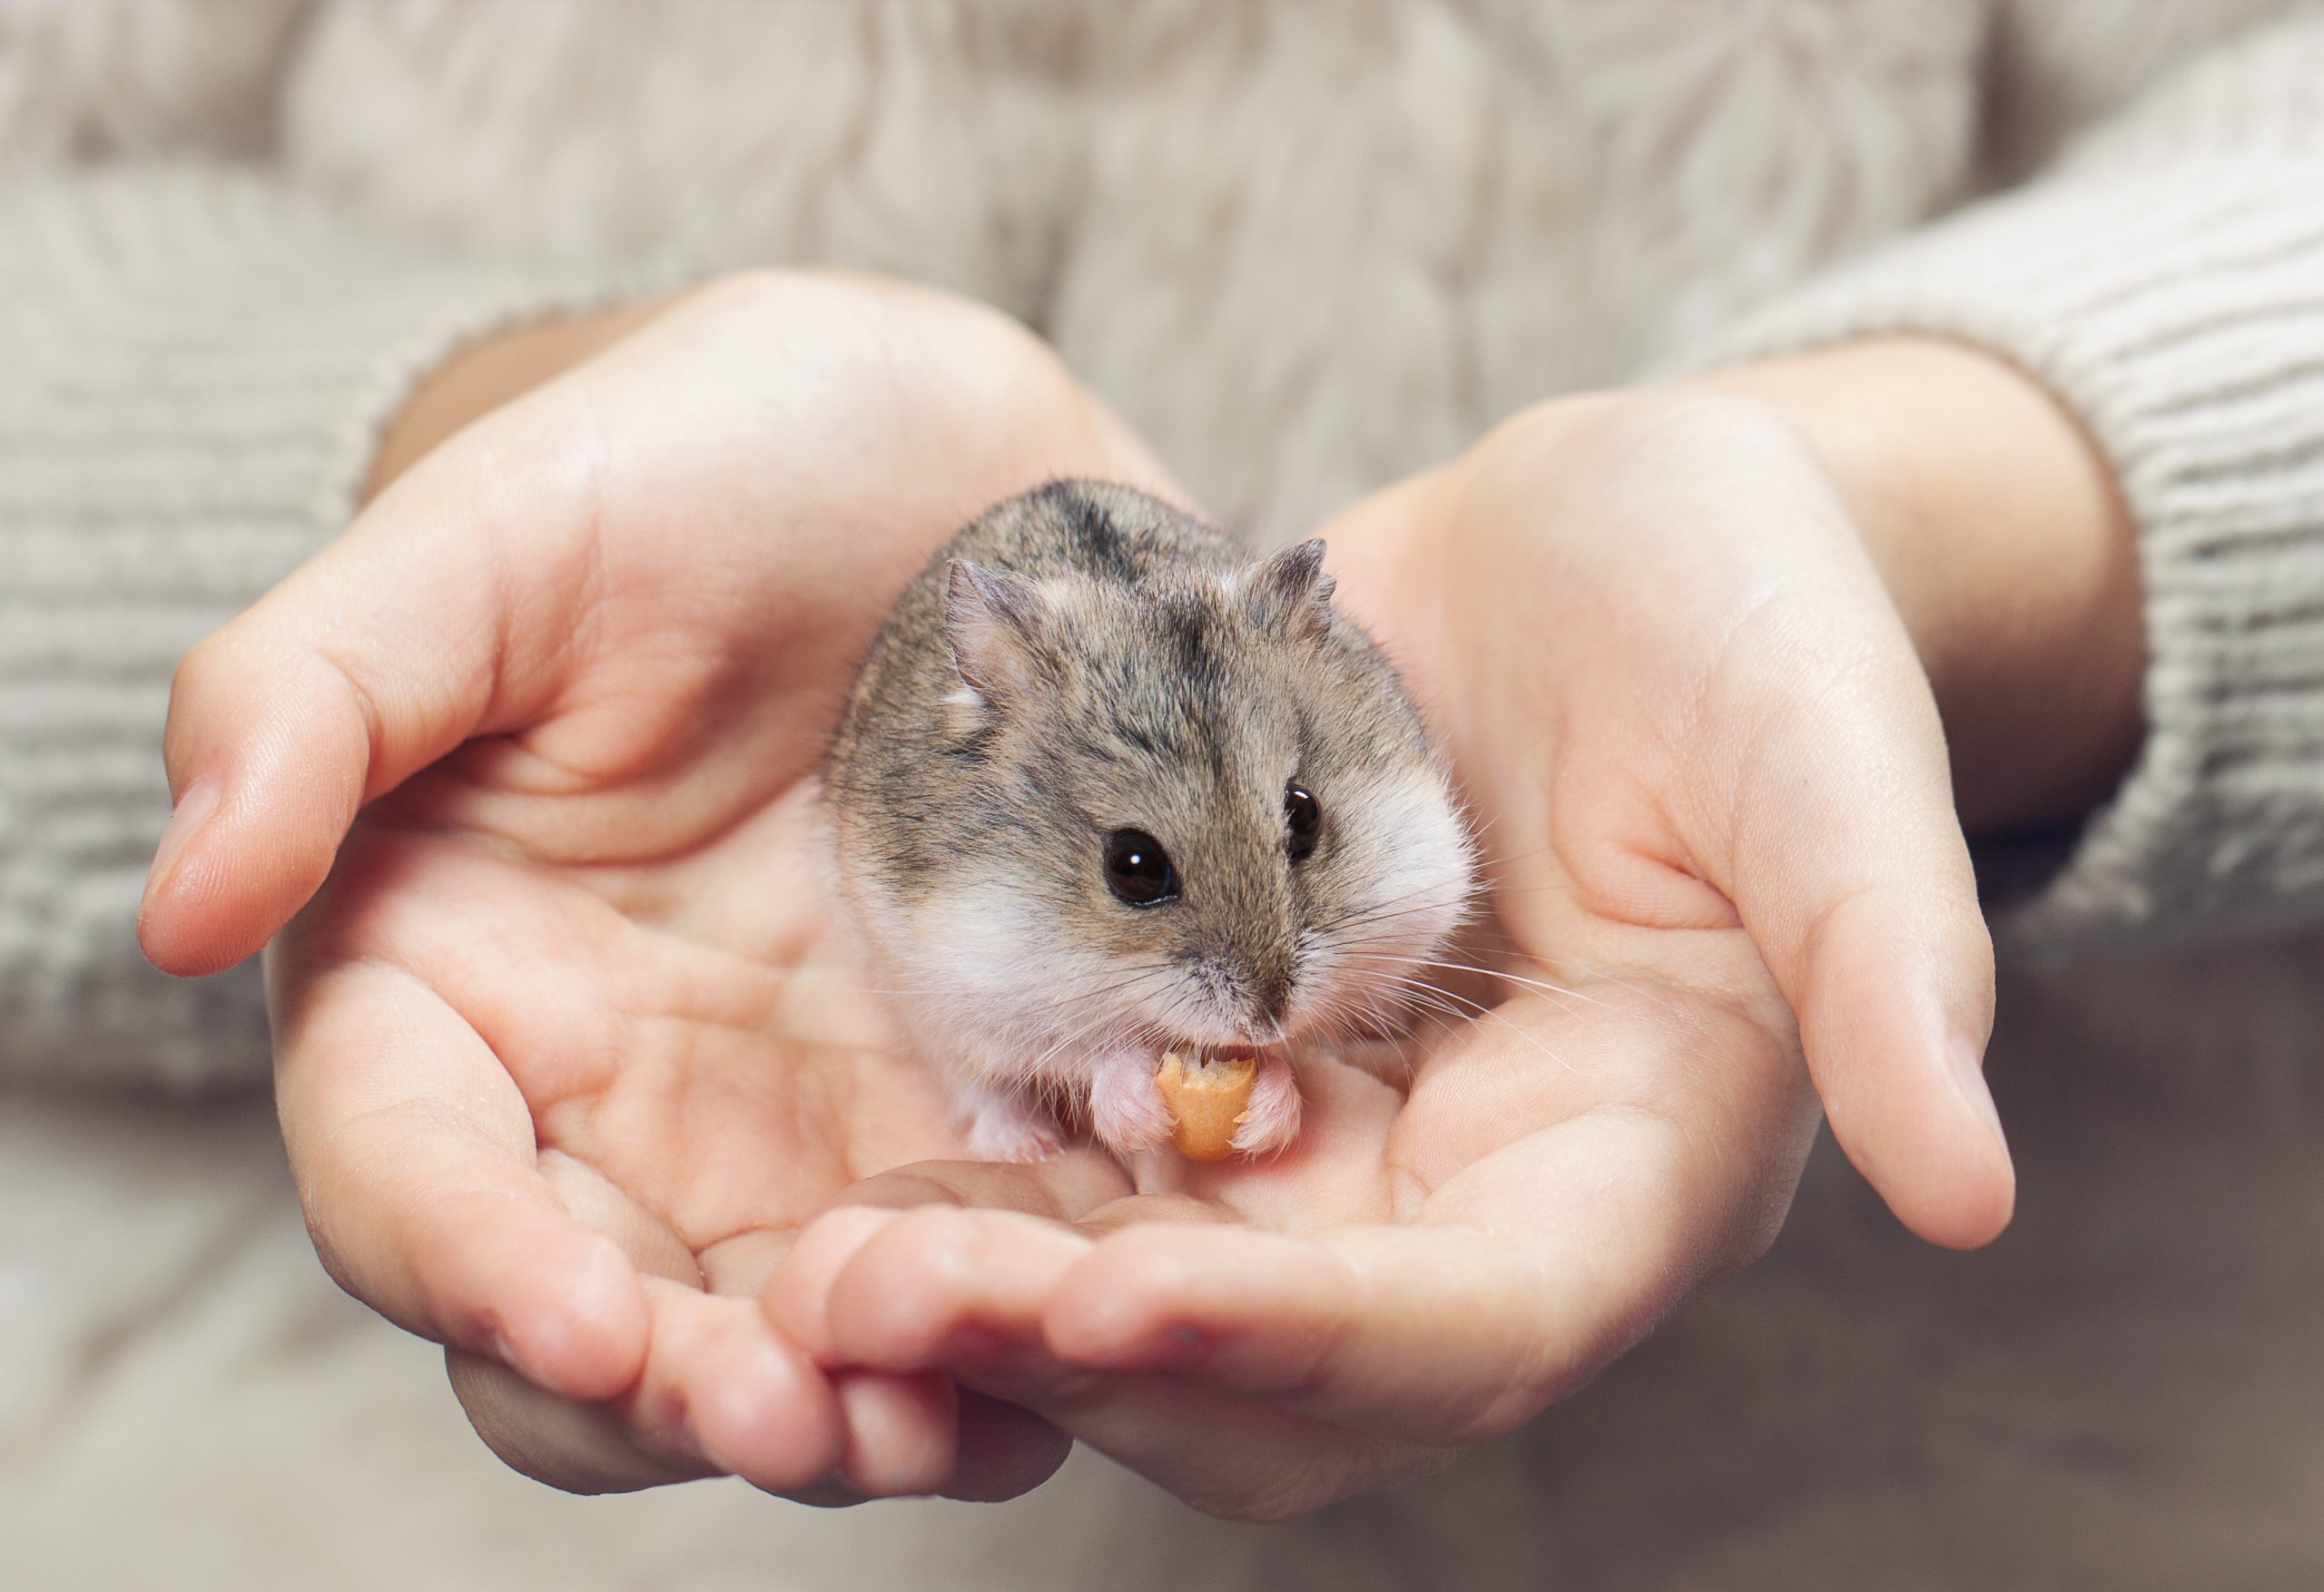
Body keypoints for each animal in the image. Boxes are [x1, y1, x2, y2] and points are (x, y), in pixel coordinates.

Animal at [824, 480, 1475, 1162]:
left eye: (1305, 814)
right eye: (1133, 867)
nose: (1267, 1019)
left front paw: (1268, 1106)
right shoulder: (967, 986)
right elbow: (1085, 1055)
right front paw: (1133, 1107)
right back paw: (1027, 1146)